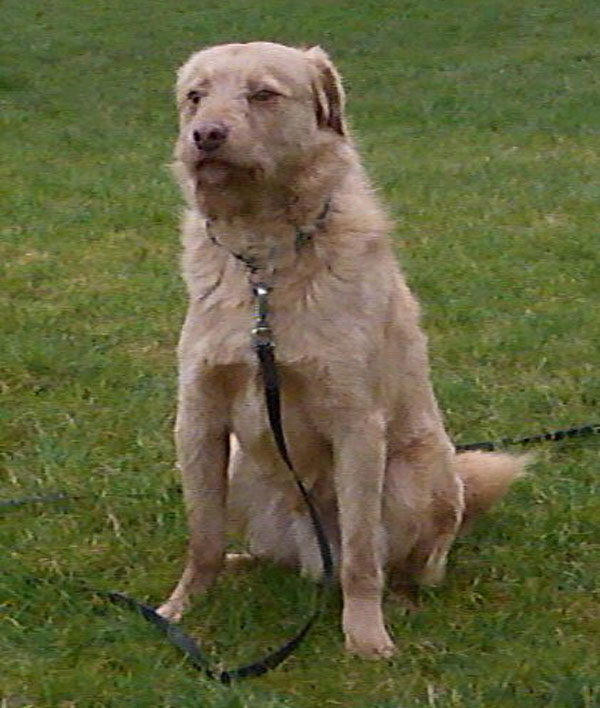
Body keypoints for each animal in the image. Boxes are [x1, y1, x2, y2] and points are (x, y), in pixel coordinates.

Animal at [157, 42, 528, 660]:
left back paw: (401, 598)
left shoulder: (356, 424)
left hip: (418, 474)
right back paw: (243, 563)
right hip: (243, 465)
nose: (205, 136)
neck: (264, 267)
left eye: (263, 94)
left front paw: (365, 636)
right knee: (271, 556)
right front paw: (182, 609)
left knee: (412, 562)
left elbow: (360, 555)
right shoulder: (201, 417)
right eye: (195, 96)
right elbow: (202, 536)